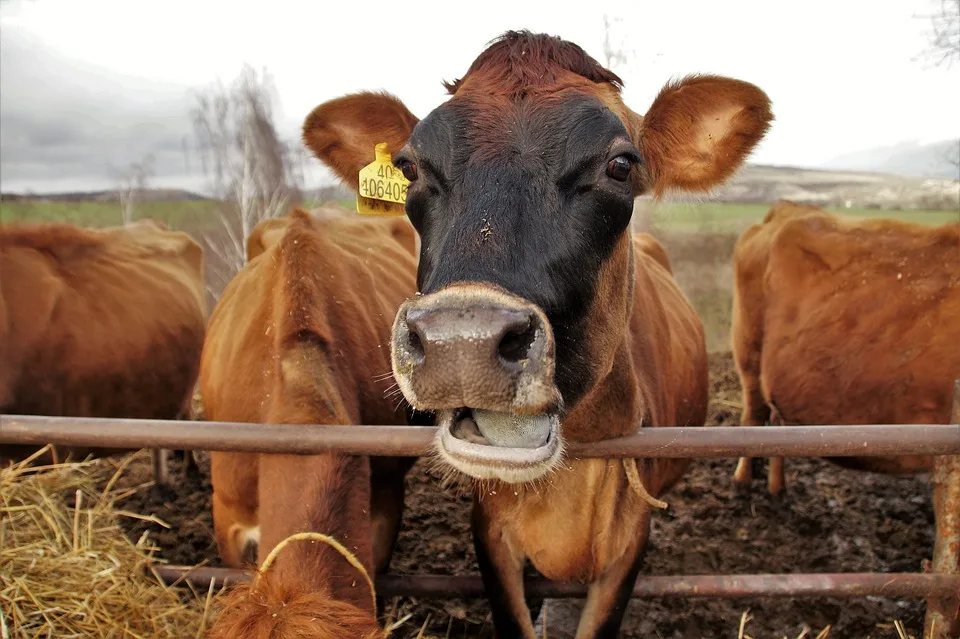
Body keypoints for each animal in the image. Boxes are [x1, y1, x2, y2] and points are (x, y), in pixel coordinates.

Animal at [732, 199, 956, 496]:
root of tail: (789, 208)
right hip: (748, 353)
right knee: (753, 416)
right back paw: (742, 483)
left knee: (777, 422)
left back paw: (777, 489)